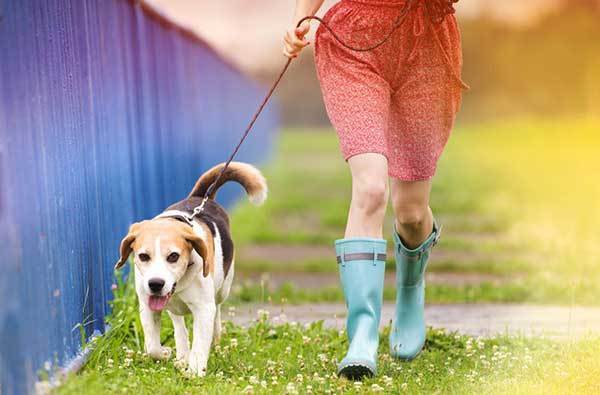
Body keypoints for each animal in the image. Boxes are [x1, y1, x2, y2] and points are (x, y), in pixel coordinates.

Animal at [116, 162, 266, 378]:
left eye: (173, 256)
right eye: (143, 256)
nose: (155, 284)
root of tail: (201, 197)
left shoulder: (204, 308)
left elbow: (200, 344)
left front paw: (194, 372)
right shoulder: (147, 306)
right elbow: (152, 347)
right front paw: (166, 353)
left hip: (223, 289)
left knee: (217, 311)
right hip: (173, 307)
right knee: (179, 325)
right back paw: (181, 354)